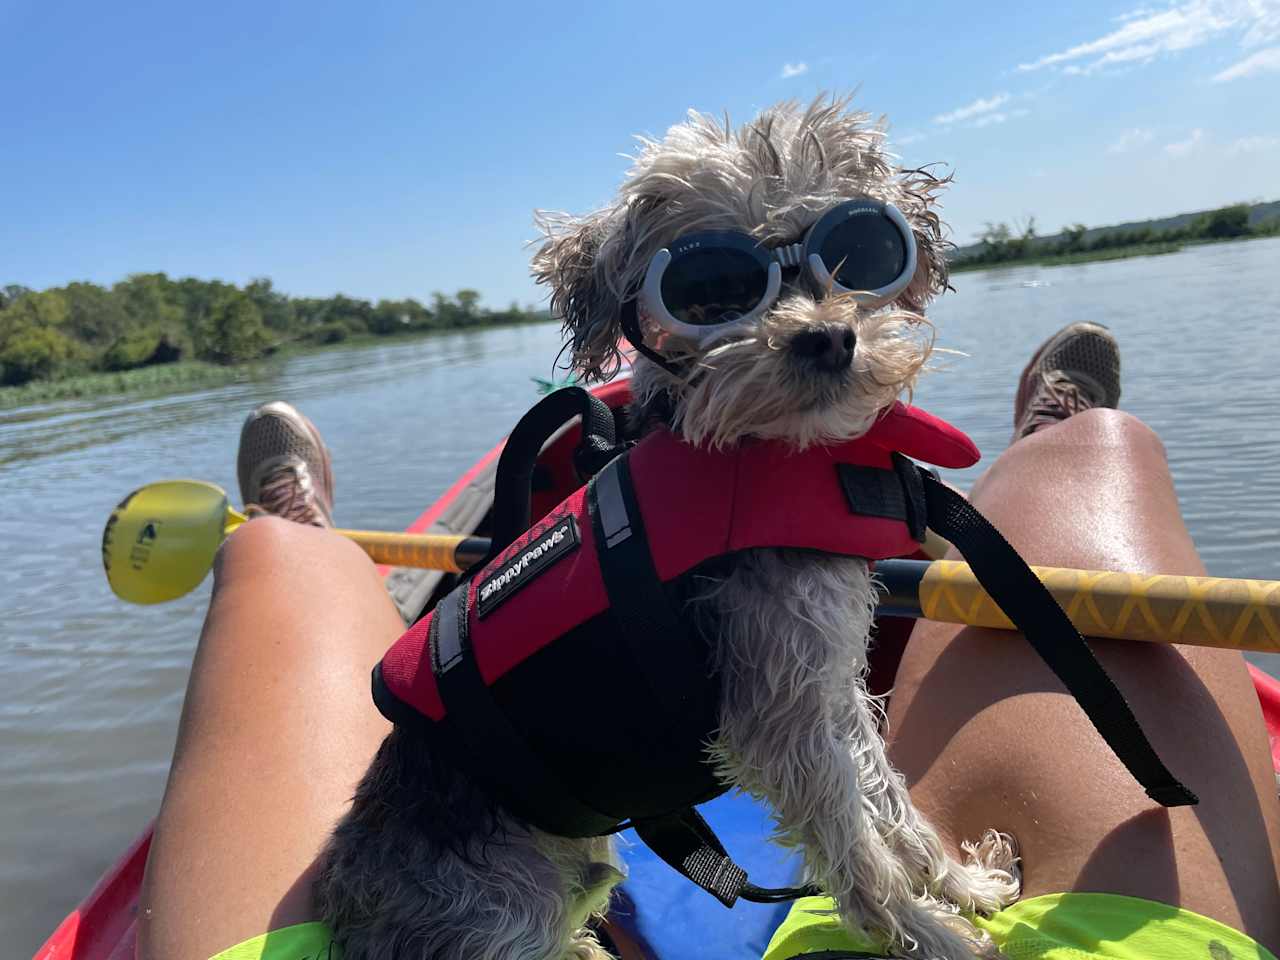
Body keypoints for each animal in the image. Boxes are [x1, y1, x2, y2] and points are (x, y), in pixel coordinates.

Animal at [317, 99, 1018, 960]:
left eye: (860, 251)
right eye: (710, 290)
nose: (826, 337)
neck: (753, 452)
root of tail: (343, 914)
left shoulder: (826, 680)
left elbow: (890, 801)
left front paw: (962, 887)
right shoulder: (781, 714)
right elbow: (858, 851)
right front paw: (932, 935)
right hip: (510, 912)